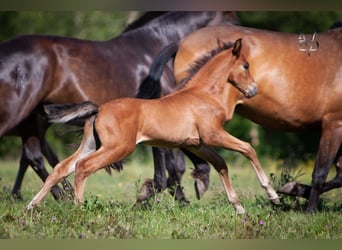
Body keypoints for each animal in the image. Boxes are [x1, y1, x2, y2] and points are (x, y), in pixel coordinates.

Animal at [0, 11, 239, 200]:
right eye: (232, 21)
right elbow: (172, 162)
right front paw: (167, 194)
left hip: (33, 121)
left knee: (35, 156)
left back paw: (52, 196)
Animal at [26, 39, 280, 215]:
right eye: (246, 65)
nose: (254, 90)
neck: (204, 95)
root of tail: (99, 109)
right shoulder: (214, 135)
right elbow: (248, 149)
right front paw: (273, 196)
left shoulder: (198, 145)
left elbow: (221, 164)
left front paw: (238, 207)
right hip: (118, 148)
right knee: (83, 167)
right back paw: (78, 209)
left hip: (92, 144)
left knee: (62, 168)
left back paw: (31, 207)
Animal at [142, 24, 342, 213]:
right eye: (246, 66)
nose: (254, 89)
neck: (205, 92)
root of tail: (181, 41)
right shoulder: (333, 122)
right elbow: (319, 171)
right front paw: (297, 205)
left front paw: (290, 190)